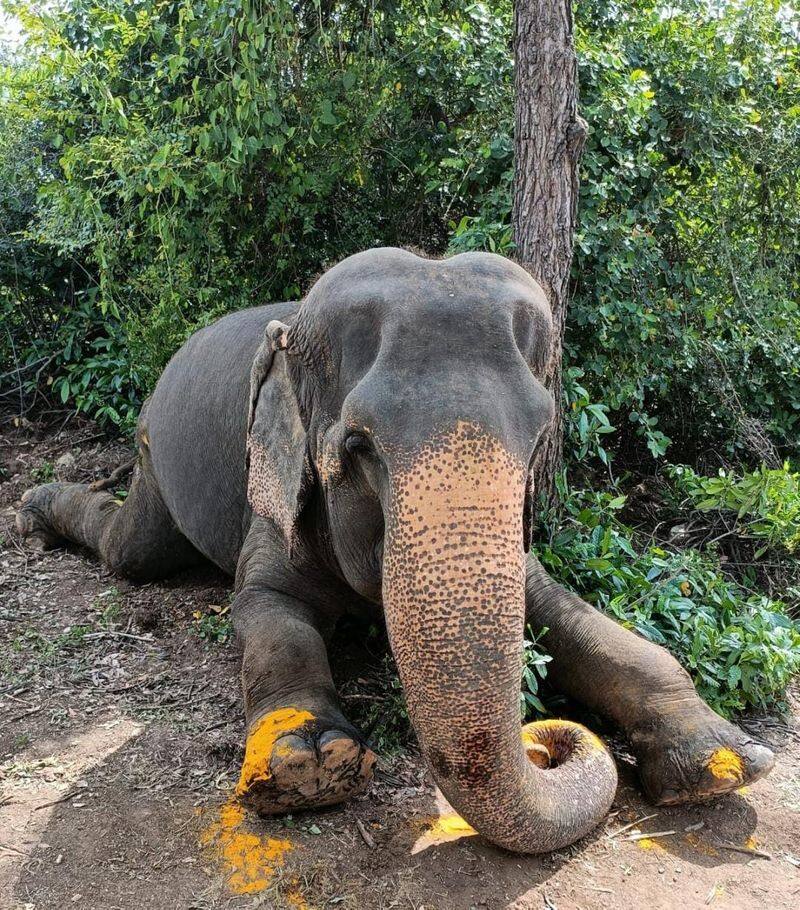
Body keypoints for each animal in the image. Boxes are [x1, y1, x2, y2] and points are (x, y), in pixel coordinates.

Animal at [14, 248, 776, 856]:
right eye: (358, 446)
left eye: (539, 439)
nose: (545, 741)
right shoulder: (276, 492)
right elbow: (267, 607)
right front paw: (309, 762)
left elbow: (561, 606)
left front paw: (722, 757)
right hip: (153, 448)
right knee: (131, 554)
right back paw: (32, 513)